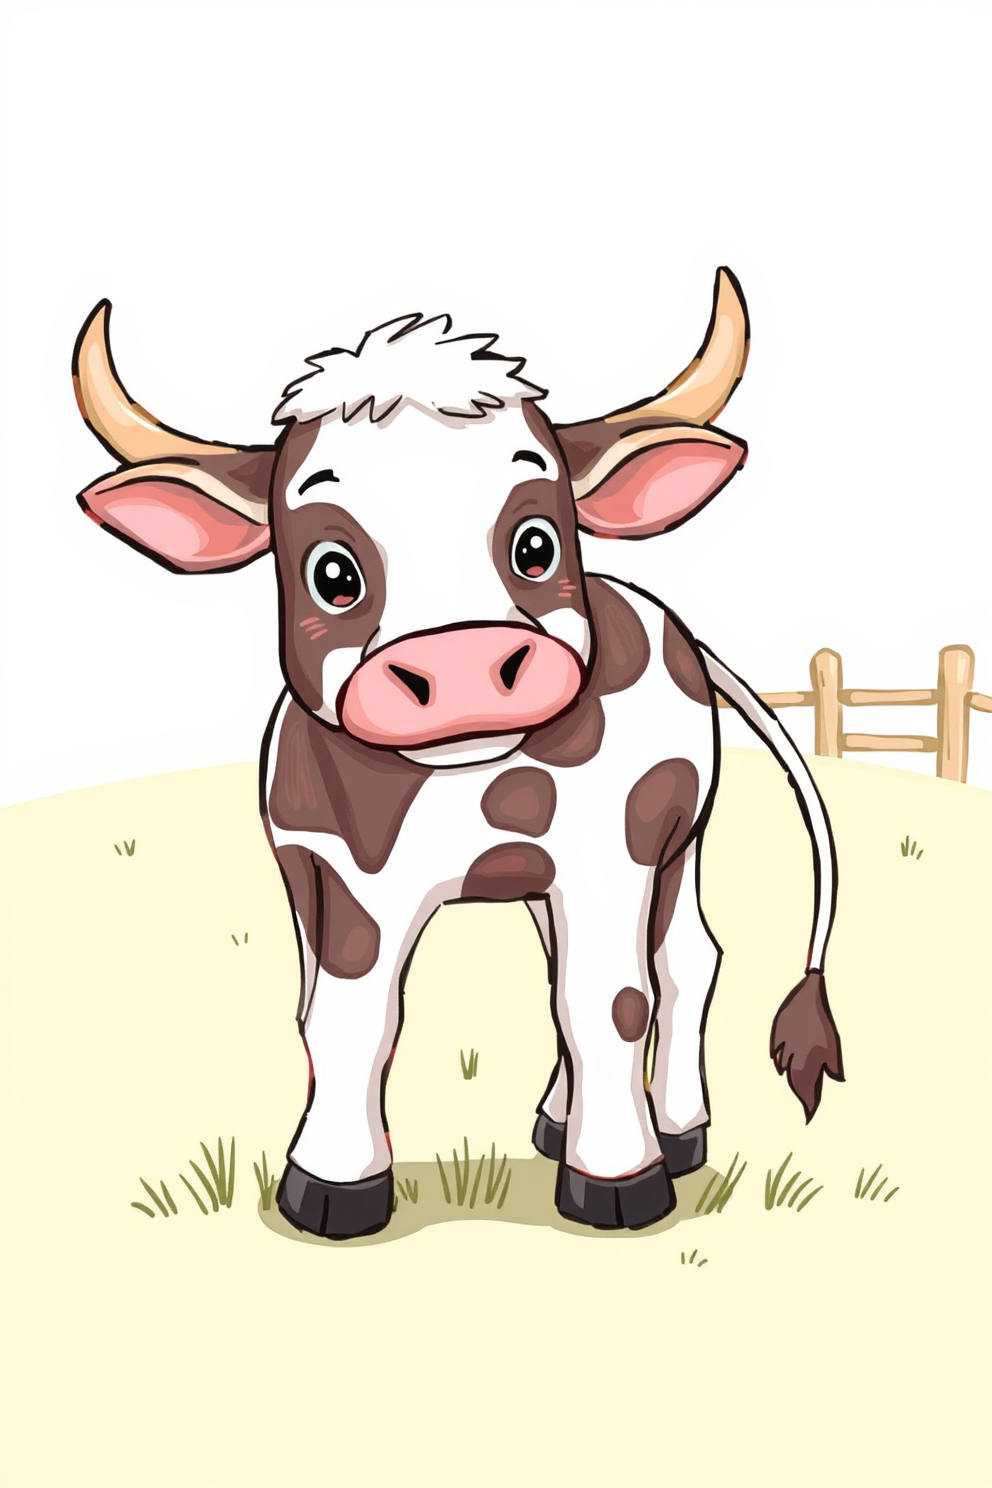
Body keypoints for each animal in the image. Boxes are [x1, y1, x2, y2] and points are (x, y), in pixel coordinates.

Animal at [72, 268, 844, 1240]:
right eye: (332, 571)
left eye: (536, 543)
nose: (464, 662)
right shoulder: (328, 880)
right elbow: (339, 1019)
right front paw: (331, 1182)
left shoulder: (606, 860)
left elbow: (608, 1003)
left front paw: (618, 1179)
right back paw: (556, 1119)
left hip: (674, 838)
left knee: (679, 966)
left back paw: (675, 1130)